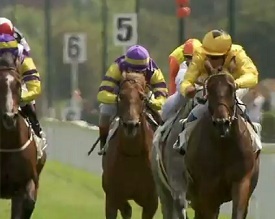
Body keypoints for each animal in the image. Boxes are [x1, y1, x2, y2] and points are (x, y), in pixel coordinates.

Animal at [101, 72, 158, 219]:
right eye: (121, 96)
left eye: (142, 97)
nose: (131, 125)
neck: (132, 154)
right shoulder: (112, 197)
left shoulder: (151, 202)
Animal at [185, 70, 260, 217]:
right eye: (209, 90)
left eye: (231, 89)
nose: (222, 123)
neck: (223, 145)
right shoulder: (208, 187)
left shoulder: (241, 181)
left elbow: (238, 211)